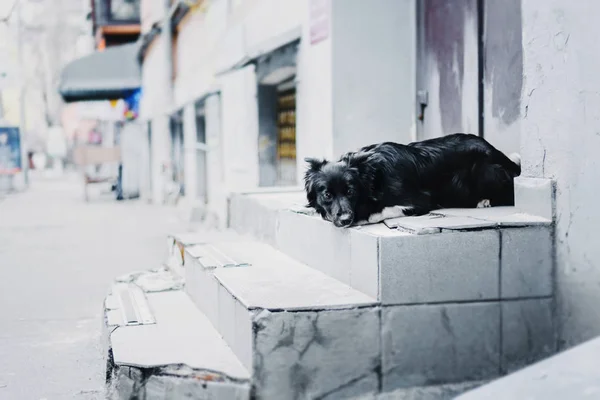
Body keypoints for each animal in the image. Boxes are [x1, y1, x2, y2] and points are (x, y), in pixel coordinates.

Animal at [304, 134, 520, 228]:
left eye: (350, 191)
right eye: (327, 195)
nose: (345, 219)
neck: (375, 177)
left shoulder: (420, 201)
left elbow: (387, 210)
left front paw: (367, 216)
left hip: (485, 170)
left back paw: (484, 201)